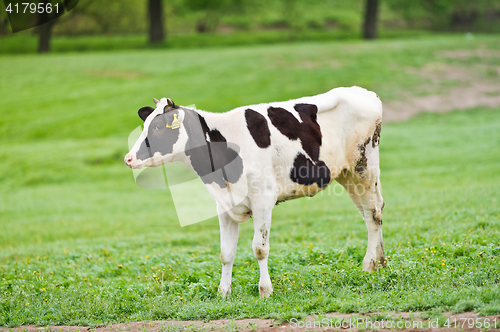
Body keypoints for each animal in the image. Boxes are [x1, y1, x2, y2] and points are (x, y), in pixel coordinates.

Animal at [126, 86, 386, 298]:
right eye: (146, 125)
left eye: (158, 127)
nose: (128, 158)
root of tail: (365, 92)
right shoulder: (224, 205)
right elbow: (226, 252)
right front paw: (223, 292)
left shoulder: (263, 200)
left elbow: (260, 249)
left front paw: (265, 290)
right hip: (347, 174)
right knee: (371, 212)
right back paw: (381, 261)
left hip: (364, 168)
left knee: (373, 214)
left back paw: (368, 265)